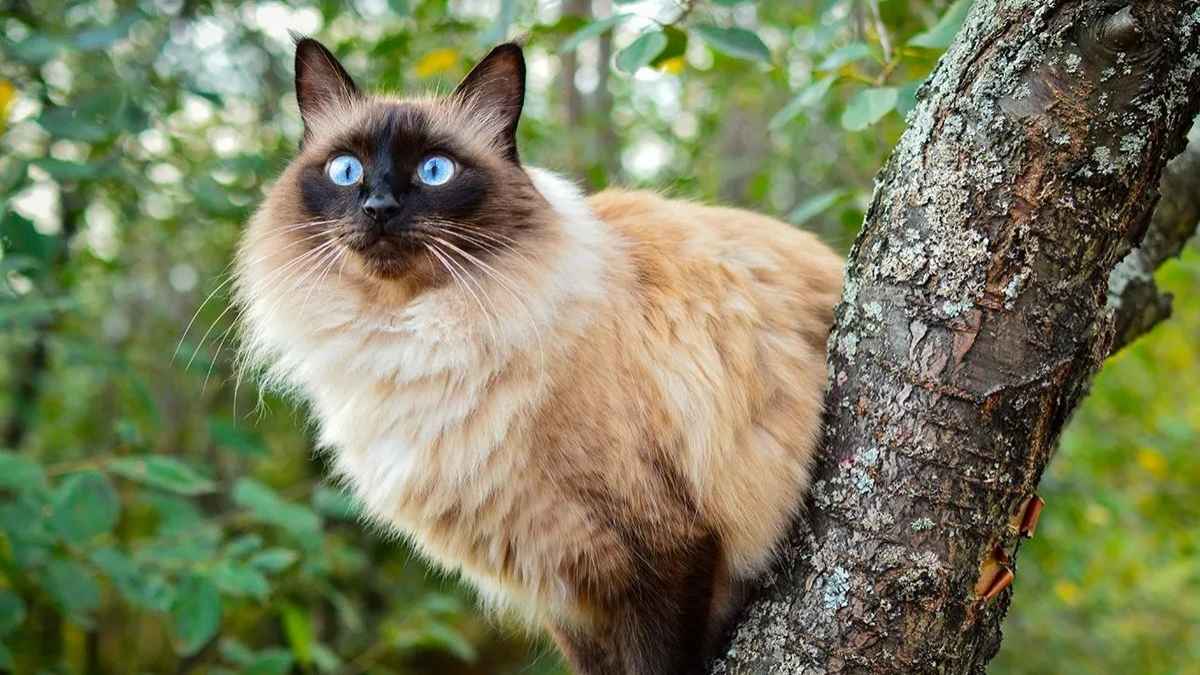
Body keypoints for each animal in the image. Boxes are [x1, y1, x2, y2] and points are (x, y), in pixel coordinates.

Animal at [229, 39, 840, 672]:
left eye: (434, 170)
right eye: (346, 170)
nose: (378, 206)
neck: (407, 339)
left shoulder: (661, 550)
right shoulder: (567, 591)